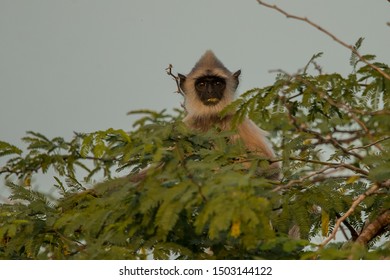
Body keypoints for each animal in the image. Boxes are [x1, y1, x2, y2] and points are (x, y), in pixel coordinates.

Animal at [177, 50, 280, 178]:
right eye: (201, 84)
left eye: (217, 83)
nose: (210, 91)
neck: (212, 117)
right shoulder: (186, 126)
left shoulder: (237, 121)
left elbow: (271, 167)